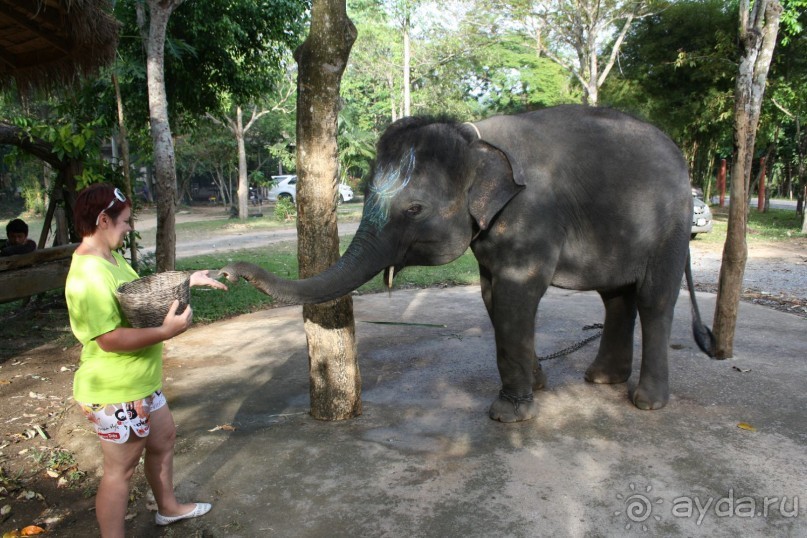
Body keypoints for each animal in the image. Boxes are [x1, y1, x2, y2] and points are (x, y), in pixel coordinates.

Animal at [218, 104, 716, 420]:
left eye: (414, 209)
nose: (226, 272)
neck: (474, 140)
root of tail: (682, 161)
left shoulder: (531, 217)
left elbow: (516, 296)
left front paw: (508, 414)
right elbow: (492, 297)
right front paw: (537, 387)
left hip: (670, 227)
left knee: (653, 299)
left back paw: (646, 402)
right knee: (616, 298)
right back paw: (600, 380)